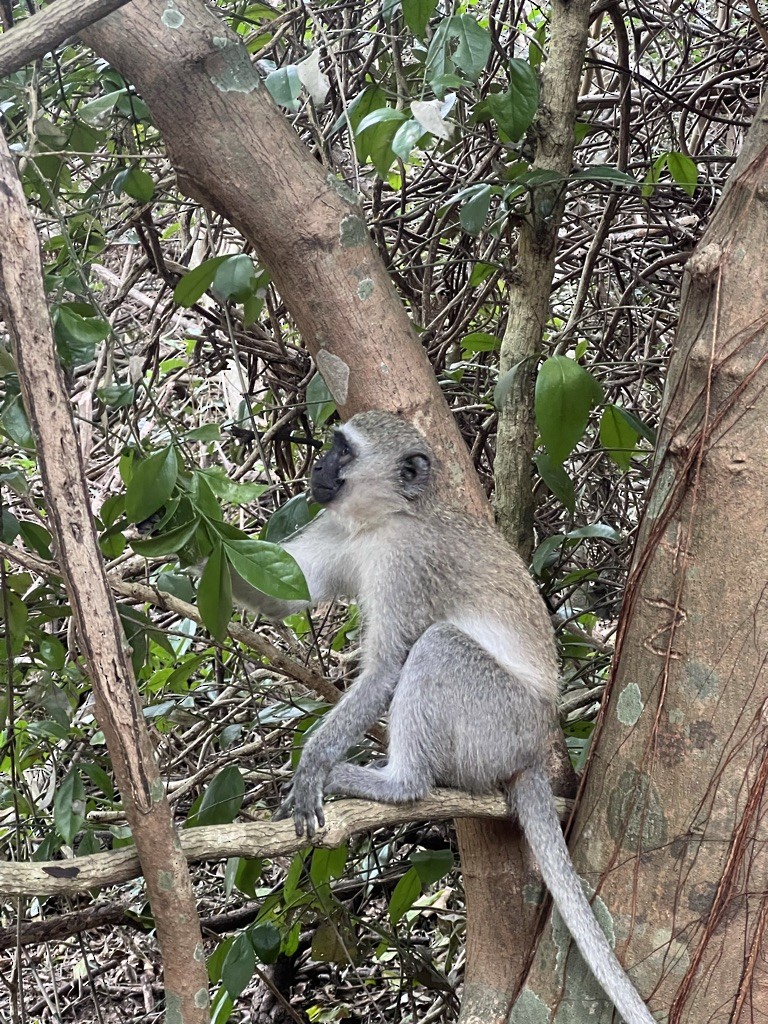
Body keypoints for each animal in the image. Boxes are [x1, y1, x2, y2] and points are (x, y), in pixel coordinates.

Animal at [230, 410, 654, 1024]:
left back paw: (398, 783)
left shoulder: (410, 563)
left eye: (343, 450)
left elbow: (386, 667)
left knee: (437, 646)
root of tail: (534, 751)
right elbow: (278, 592)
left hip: (498, 721)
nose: (317, 468)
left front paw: (314, 764)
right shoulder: (340, 530)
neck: (387, 520)